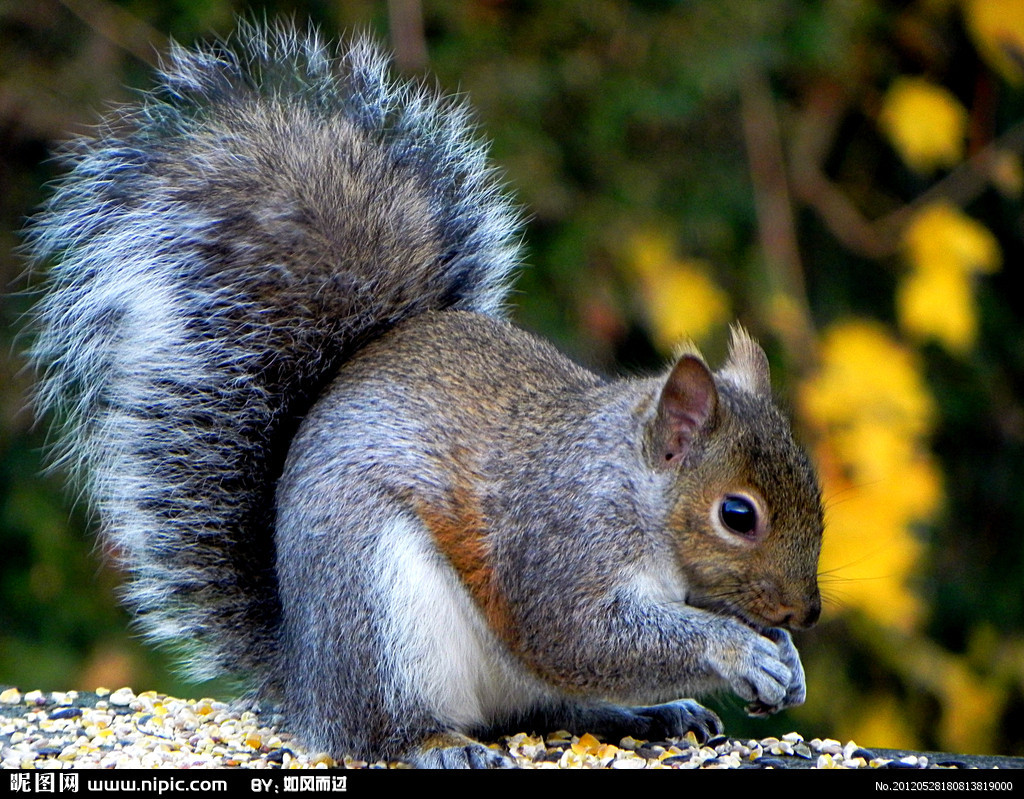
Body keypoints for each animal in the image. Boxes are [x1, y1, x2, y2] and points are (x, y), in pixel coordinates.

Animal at [28, 20, 823, 766]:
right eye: (737, 515)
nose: (806, 614)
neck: (632, 490)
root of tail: (307, 679)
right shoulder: (556, 545)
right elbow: (584, 636)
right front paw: (738, 649)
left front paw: (785, 660)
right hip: (379, 607)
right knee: (382, 727)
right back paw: (436, 741)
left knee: (551, 709)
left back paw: (650, 714)